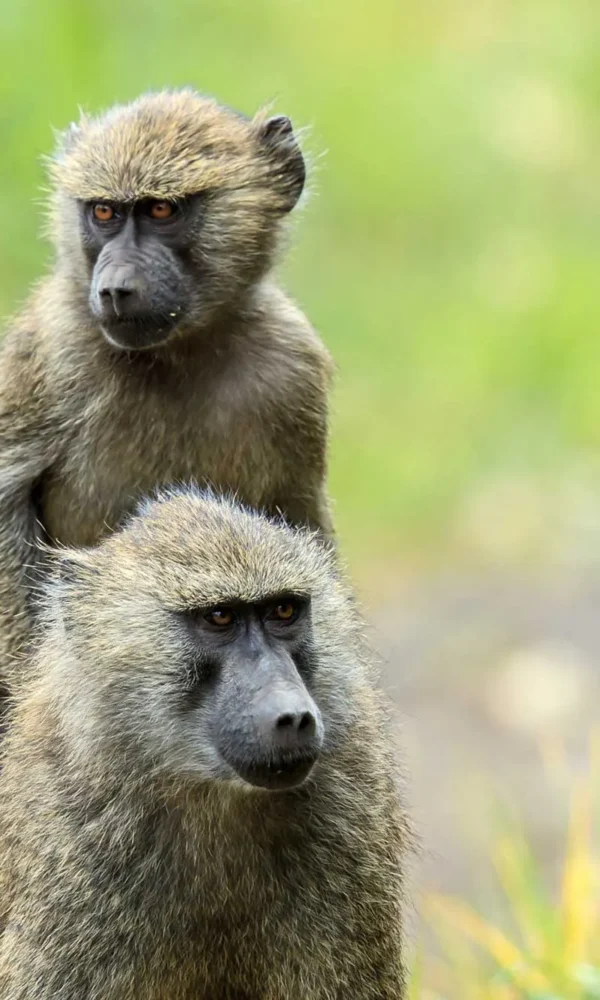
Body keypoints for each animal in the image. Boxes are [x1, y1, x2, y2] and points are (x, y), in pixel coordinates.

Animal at [0, 88, 334, 702]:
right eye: (103, 213)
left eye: (161, 211)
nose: (114, 289)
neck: (182, 351)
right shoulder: (53, 350)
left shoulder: (292, 368)